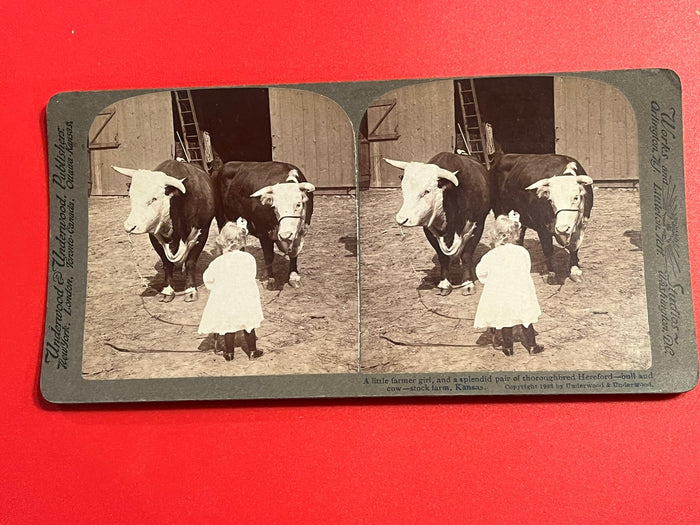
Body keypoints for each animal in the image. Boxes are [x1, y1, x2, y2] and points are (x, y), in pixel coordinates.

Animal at [112, 158, 215, 300]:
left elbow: (191, 262)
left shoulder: (202, 231)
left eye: (154, 198)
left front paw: (190, 289)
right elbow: (167, 263)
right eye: (131, 196)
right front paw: (167, 290)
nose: (129, 226)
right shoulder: (154, 236)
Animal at [386, 151, 490, 294]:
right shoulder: (429, 230)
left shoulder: (478, 225)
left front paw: (468, 283)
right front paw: (445, 283)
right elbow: (443, 257)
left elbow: (466, 255)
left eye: (427, 191)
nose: (401, 219)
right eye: (404, 189)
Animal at [490, 151, 592, 282]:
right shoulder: (542, 228)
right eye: (551, 200)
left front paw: (575, 270)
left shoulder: (582, 226)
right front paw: (550, 273)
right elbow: (548, 250)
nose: (562, 228)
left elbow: (574, 247)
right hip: (498, 209)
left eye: (576, 197)